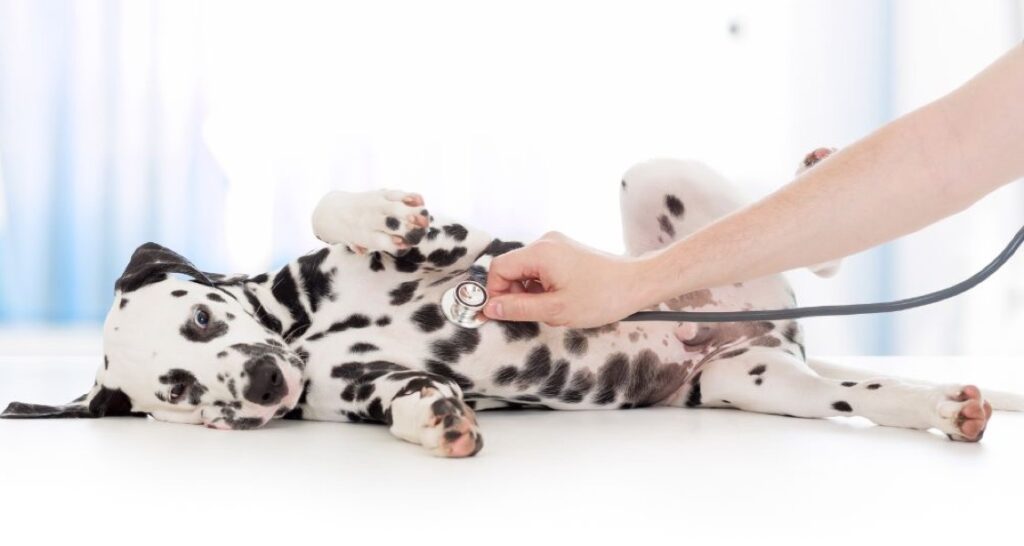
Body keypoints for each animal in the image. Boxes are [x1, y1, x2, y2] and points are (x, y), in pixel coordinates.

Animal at [4, 147, 1019, 454]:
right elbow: (412, 396)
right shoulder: (370, 386)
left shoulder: (464, 248)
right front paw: (437, 422)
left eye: (204, 319)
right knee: (873, 392)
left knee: (811, 235)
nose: (257, 386)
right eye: (177, 392)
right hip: (769, 383)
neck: (308, 329)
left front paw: (373, 213)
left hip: (664, 182)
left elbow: (339, 207)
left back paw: (814, 164)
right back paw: (948, 406)